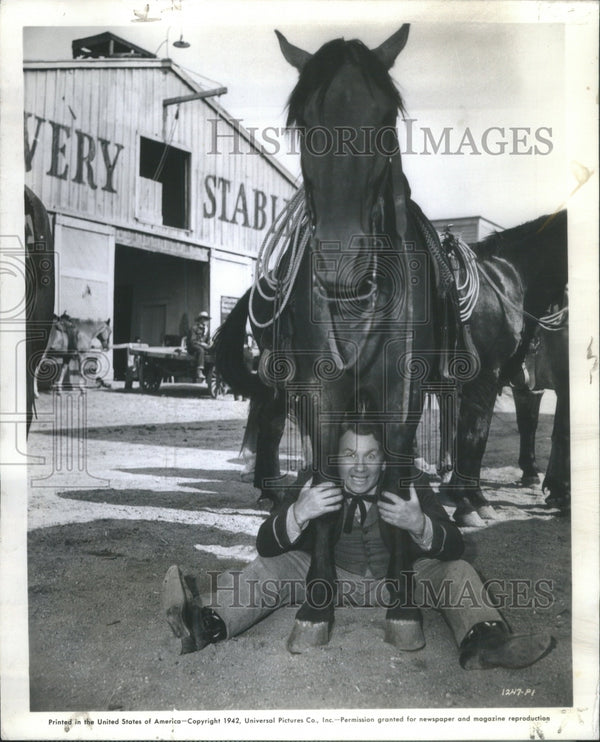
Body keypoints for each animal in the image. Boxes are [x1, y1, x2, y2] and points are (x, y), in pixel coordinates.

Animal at [216, 24, 468, 652]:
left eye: (382, 118)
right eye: (307, 121)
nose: (340, 262)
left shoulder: (404, 392)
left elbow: (398, 478)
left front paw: (402, 602)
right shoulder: (319, 391)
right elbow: (328, 479)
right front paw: (317, 601)